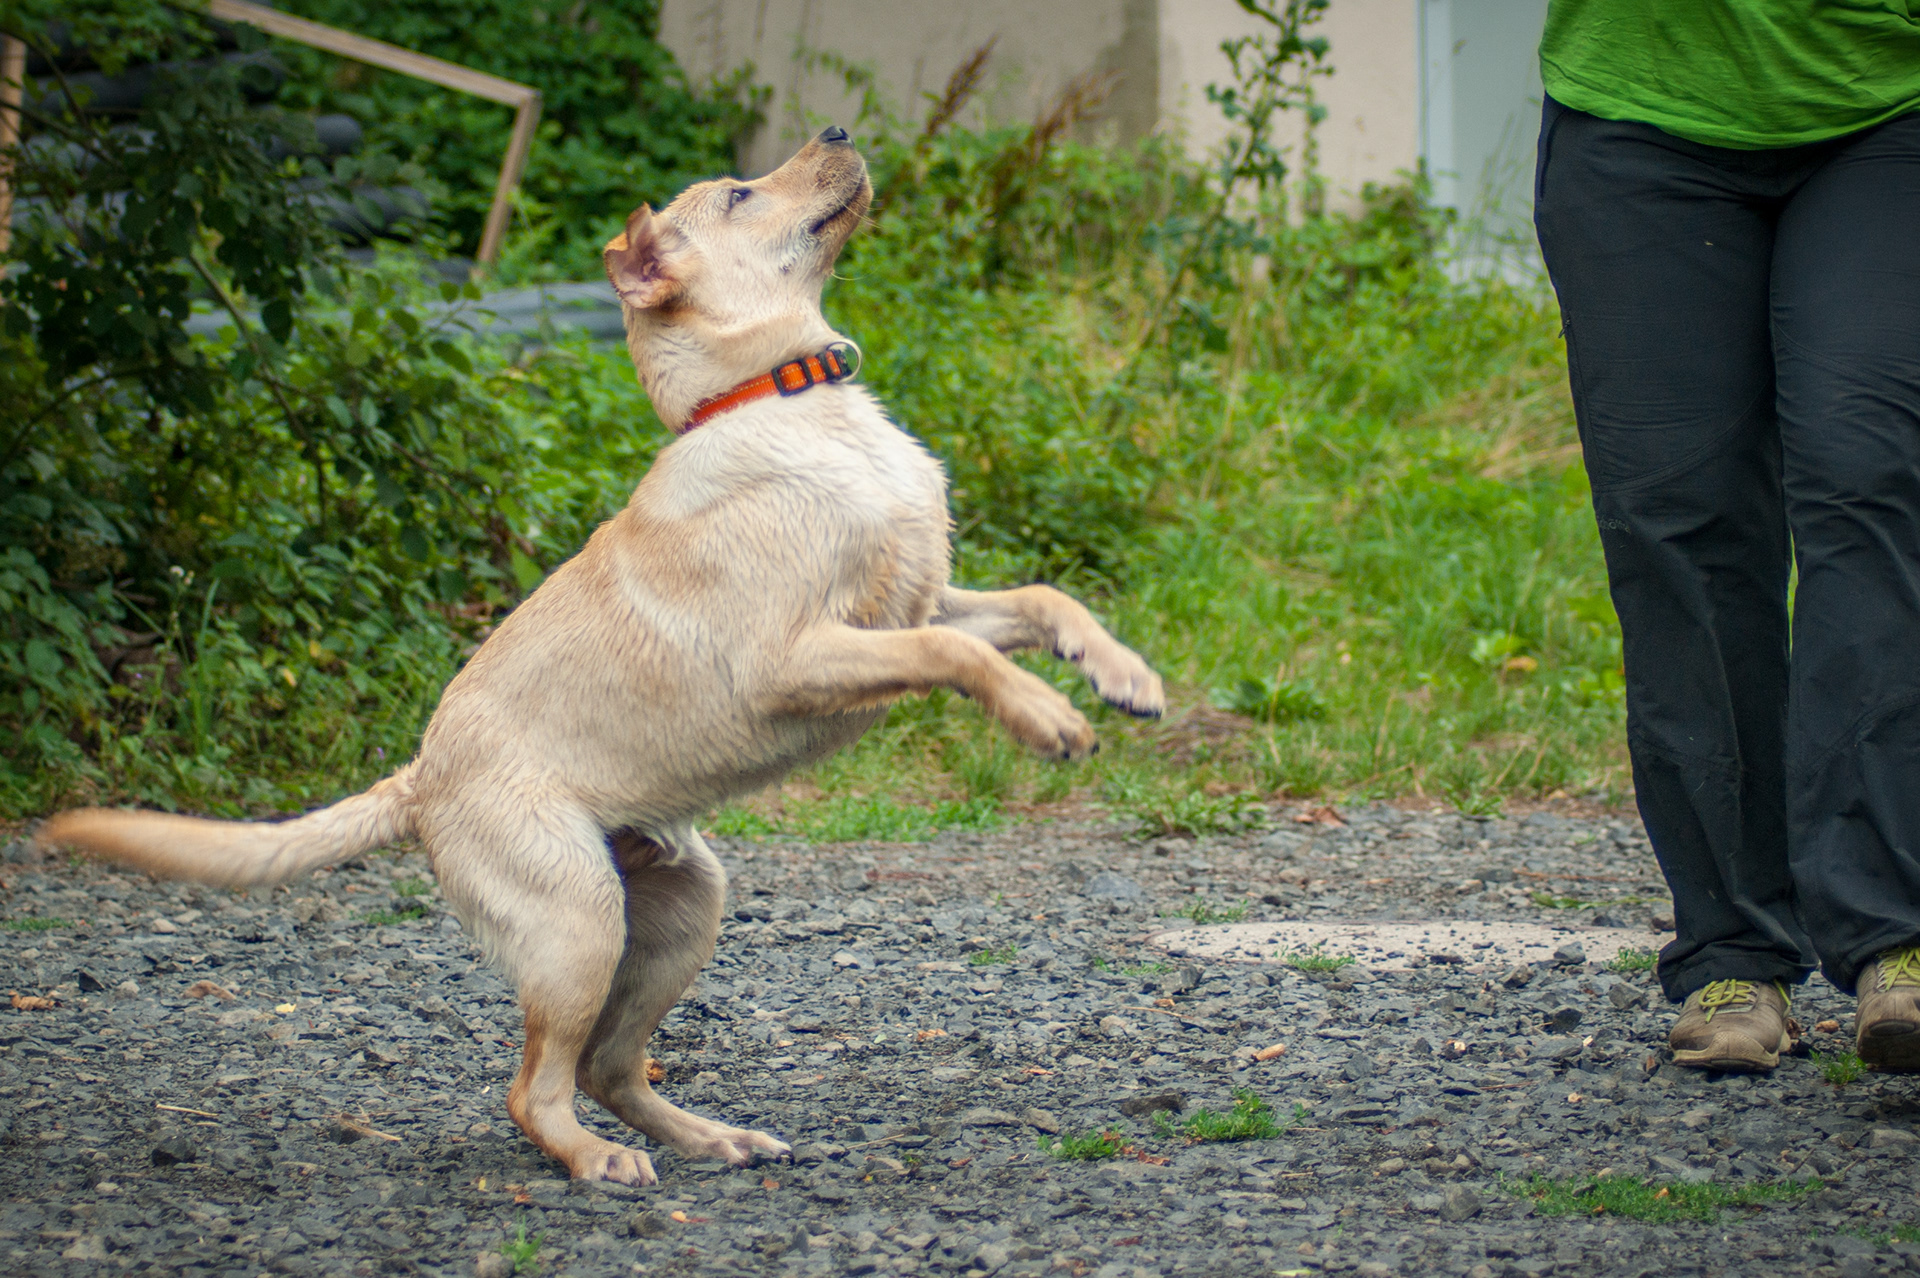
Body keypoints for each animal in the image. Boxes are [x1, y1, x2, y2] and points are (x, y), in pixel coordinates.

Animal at [37, 126, 1166, 1184]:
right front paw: (1047, 718)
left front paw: (1124, 678)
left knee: (610, 1069)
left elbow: (1038, 601)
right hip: (580, 926)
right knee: (537, 1087)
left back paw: (712, 1138)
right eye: (739, 193)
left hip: (681, 916)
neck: (777, 396)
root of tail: (417, 779)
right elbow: (955, 652)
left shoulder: (915, 600)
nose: (841, 133)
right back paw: (595, 1162)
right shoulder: (800, 654)